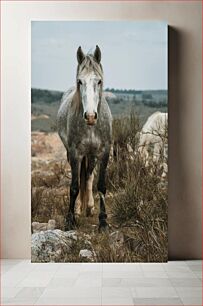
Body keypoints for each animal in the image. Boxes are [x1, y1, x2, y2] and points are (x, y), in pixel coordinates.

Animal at [56, 45, 112, 231]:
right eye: (80, 81)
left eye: (99, 81)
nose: (90, 116)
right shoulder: (75, 154)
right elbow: (74, 187)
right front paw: (70, 220)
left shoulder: (104, 152)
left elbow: (101, 185)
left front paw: (103, 221)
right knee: (82, 177)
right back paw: (80, 210)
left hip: (92, 155)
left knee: (88, 176)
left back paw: (89, 206)